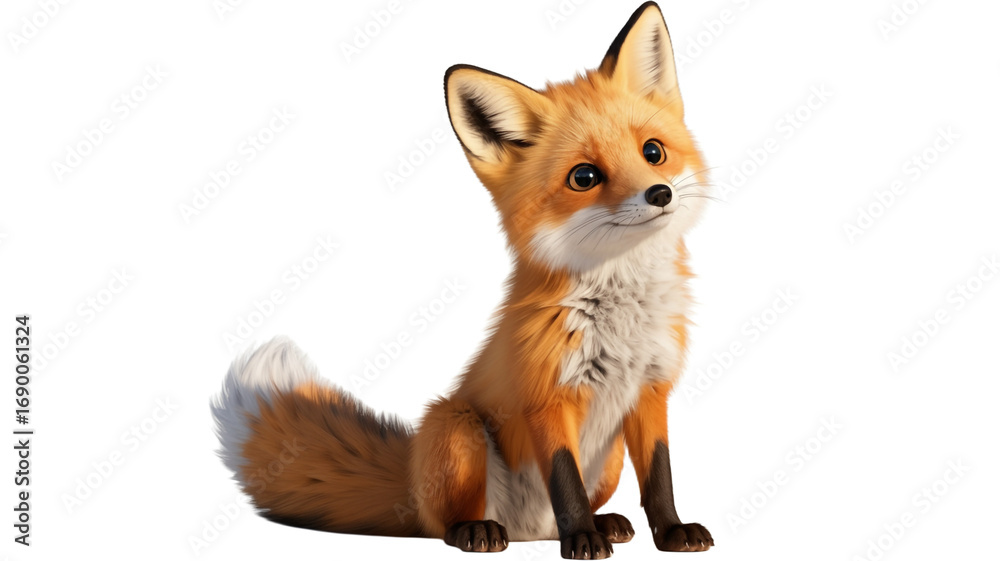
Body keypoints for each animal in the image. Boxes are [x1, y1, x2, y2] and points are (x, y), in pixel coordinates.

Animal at [212, 2, 714, 558]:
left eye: (653, 152)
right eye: (584, 177)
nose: (660, 194)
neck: (621, 312)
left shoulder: (651, 390)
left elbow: (660, 475)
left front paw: (671, 532)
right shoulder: (545, 396)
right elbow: (564, 479)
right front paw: (581, 538)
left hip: (608, 462)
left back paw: (604, 523)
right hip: (459, 426)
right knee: (447, 523)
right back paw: (481, 531)